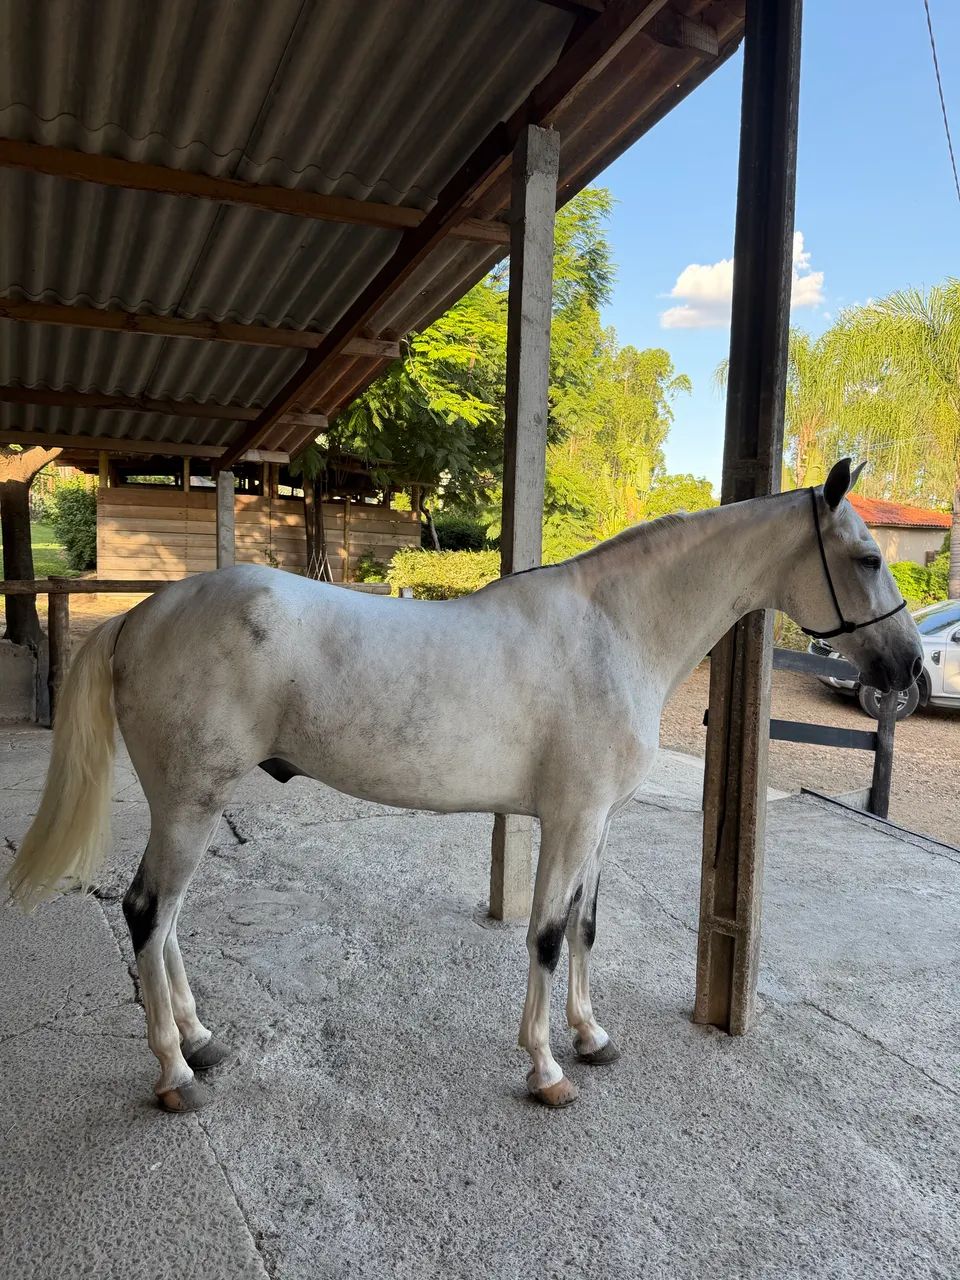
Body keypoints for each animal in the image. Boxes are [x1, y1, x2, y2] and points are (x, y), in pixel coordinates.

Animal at [6, 458, 922, 1113]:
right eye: (870, 556)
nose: (909, 671)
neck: (615, 630)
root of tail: (141, 616)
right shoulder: (570, 821)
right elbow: (547, 935)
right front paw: (547, 1068)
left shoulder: (598, 824)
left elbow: (585, 928)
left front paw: (591, 1036)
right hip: (190, 805)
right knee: (145, 913)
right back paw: (174, 1074)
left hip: (191, 805)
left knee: (165, 920)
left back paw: (200, 1040)